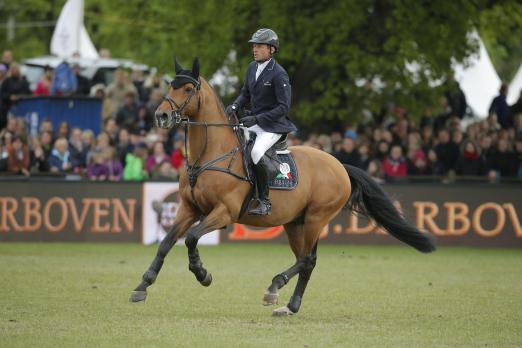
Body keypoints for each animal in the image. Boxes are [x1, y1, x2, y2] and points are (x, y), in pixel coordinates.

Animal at [130, 58, 434, 316]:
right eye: (170, 84)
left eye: (188, 88)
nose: (161, 116)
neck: (209, 155)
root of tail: (339, 165)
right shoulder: (189, 209)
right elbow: (166, 243)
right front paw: (142, 285)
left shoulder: (223, 212)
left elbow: (192, 238)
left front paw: (203, 274)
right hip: (295, 223)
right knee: (306, 259)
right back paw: (288, 304)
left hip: (316, 218)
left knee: (308, 259)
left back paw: (275, 289)